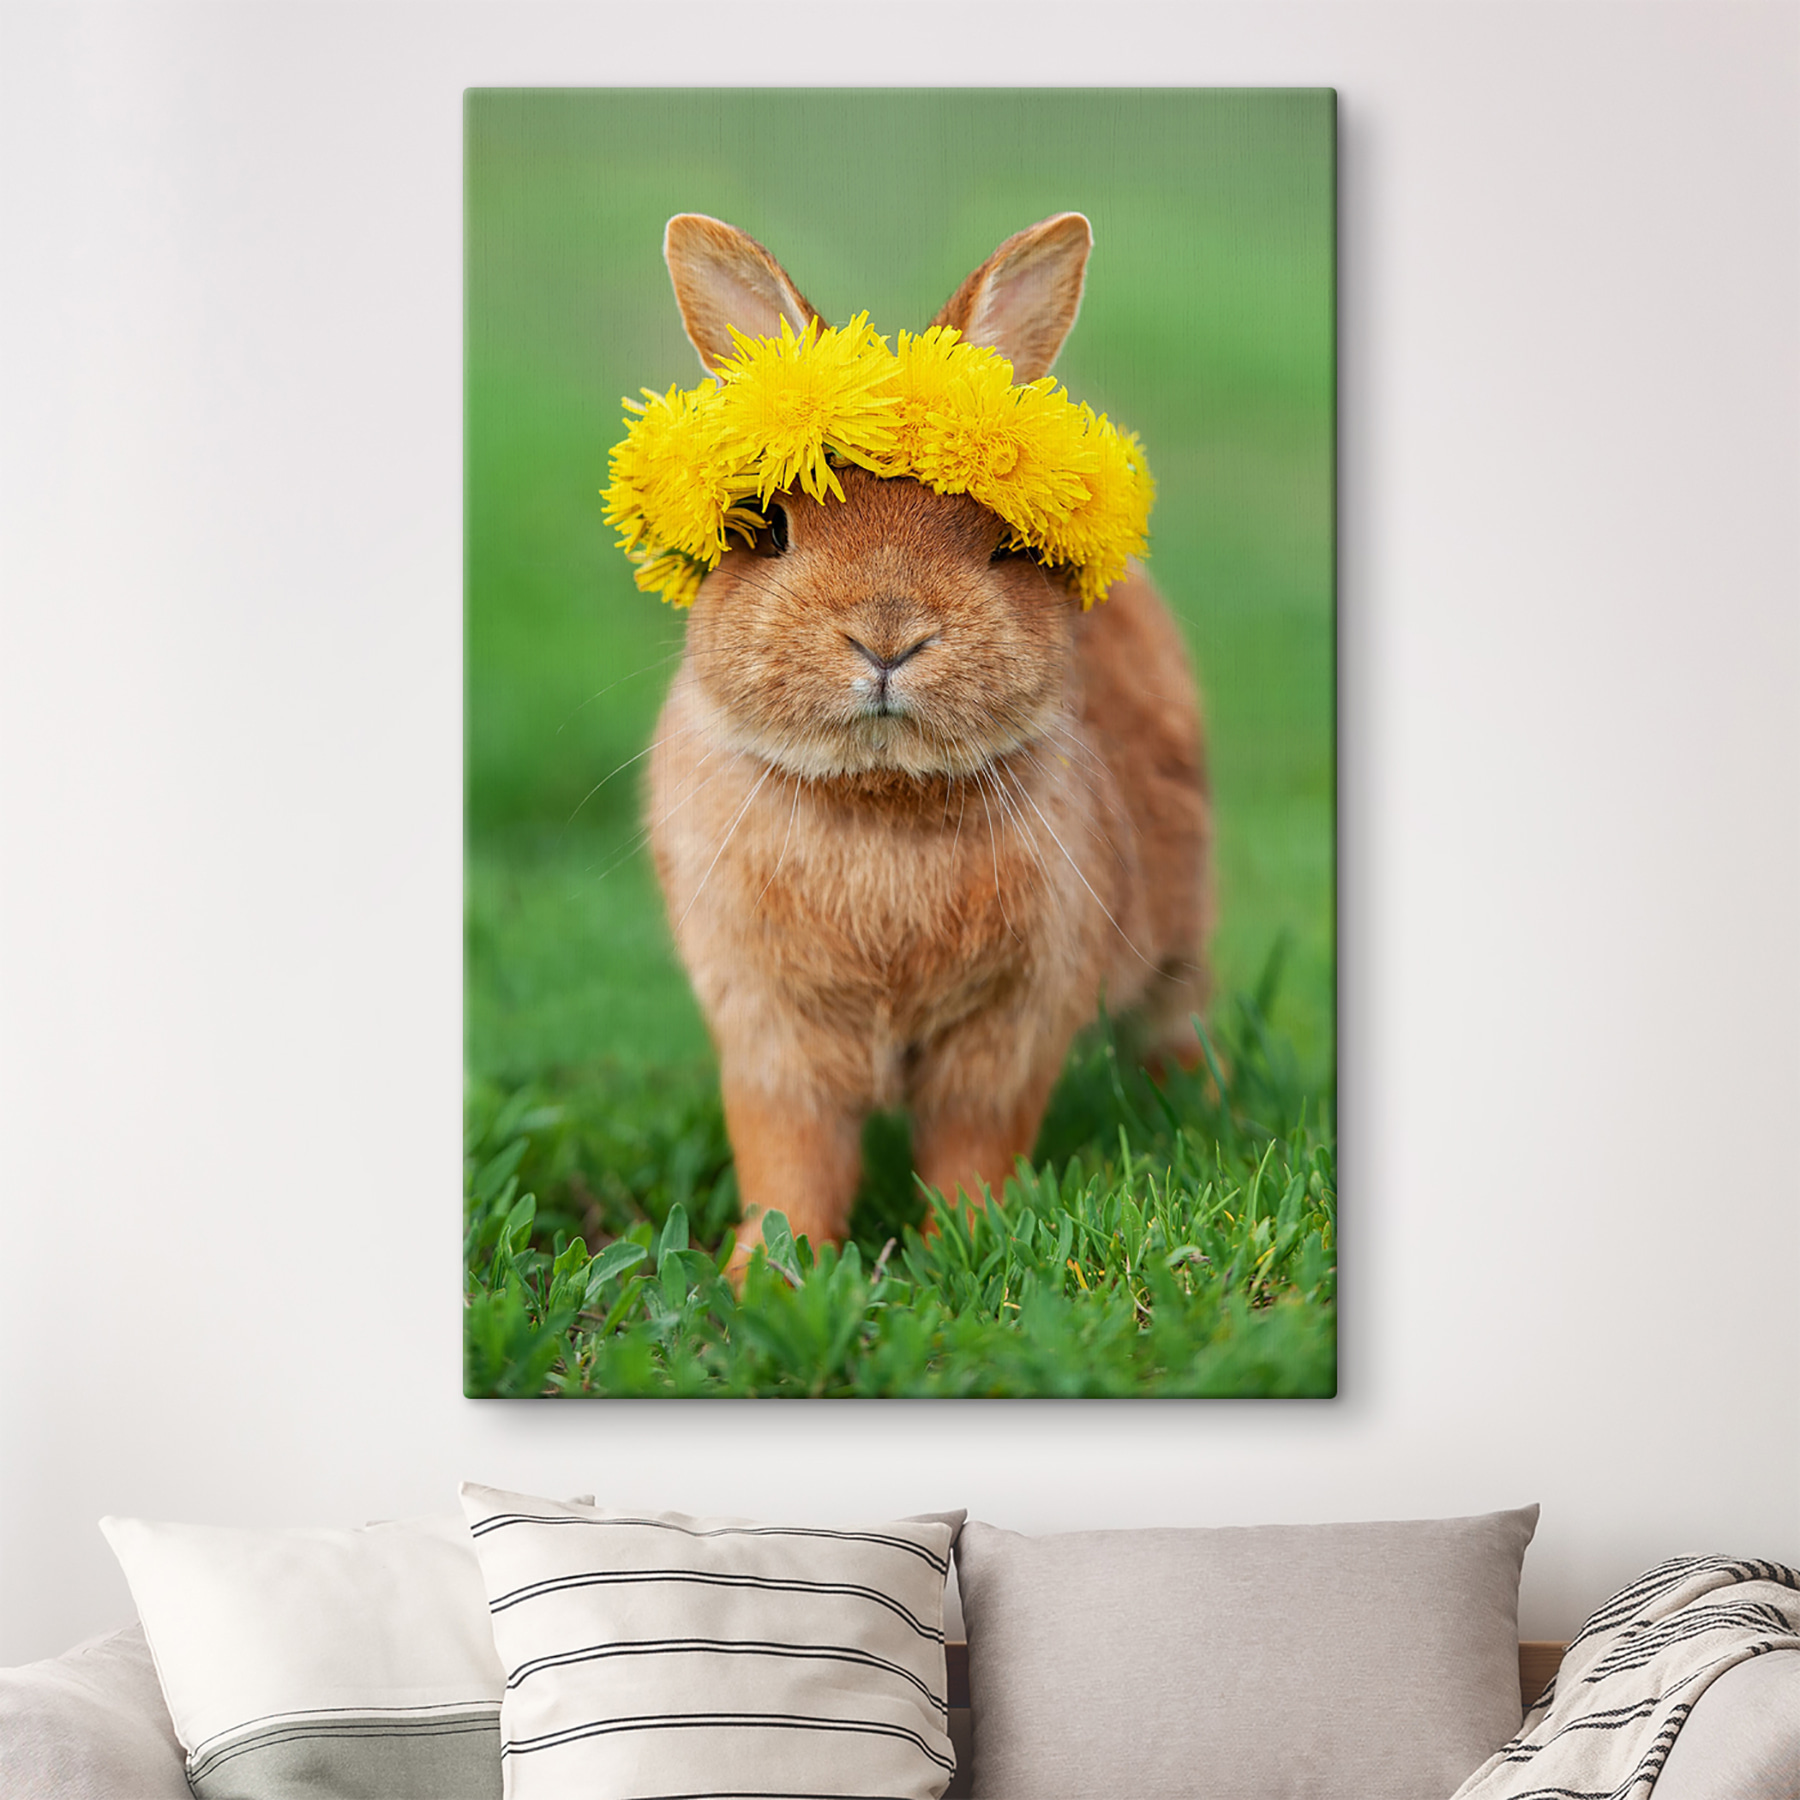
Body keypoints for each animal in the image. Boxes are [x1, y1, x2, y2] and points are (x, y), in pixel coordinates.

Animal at [646, 212, 1212, 1274]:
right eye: (768, 525)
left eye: (1002, 542)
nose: (887, 637)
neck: (881, 797)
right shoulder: (770, 1034)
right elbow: (789, 1160)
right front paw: (765, 1277)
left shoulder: (1009, 1032)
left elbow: (973, 1150)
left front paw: (965, 1248)